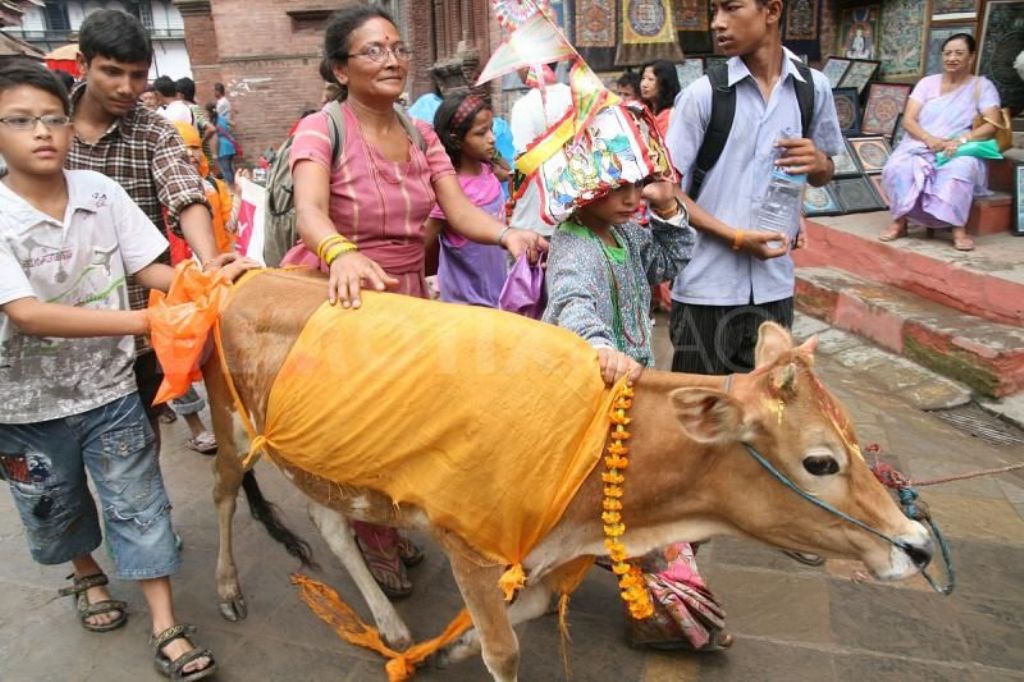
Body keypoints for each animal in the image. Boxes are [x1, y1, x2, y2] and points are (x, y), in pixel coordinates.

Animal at [203, 270, 933, 679]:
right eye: (820, 461)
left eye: (857, 441)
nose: (919, 546)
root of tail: (241, 278)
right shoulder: (468, 544)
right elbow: (504, 650)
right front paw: (468, 648)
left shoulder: (548, 551)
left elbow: (518, 611)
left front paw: (446, 650)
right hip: (228, 419)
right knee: (224, 497)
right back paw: (228, 590)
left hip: (320, 462)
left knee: (329, 522)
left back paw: (390, 626)